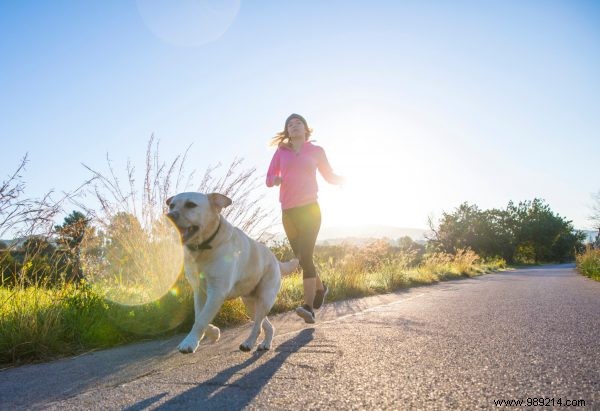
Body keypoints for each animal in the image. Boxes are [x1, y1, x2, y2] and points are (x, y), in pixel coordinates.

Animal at [165, 193, 298, 354]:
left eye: (191, 205)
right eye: (171, 205)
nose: (169, 216)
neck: (203, 248)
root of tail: (276, 260)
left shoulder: (217, 292)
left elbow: (202, 319)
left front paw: (189, 342)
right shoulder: (199, 291)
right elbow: (199, 317)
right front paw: (214, 332)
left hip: (265, 299)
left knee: (258, 326)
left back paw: (248, 343)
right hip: (250, 303)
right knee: (266, 325)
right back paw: (265, 343)